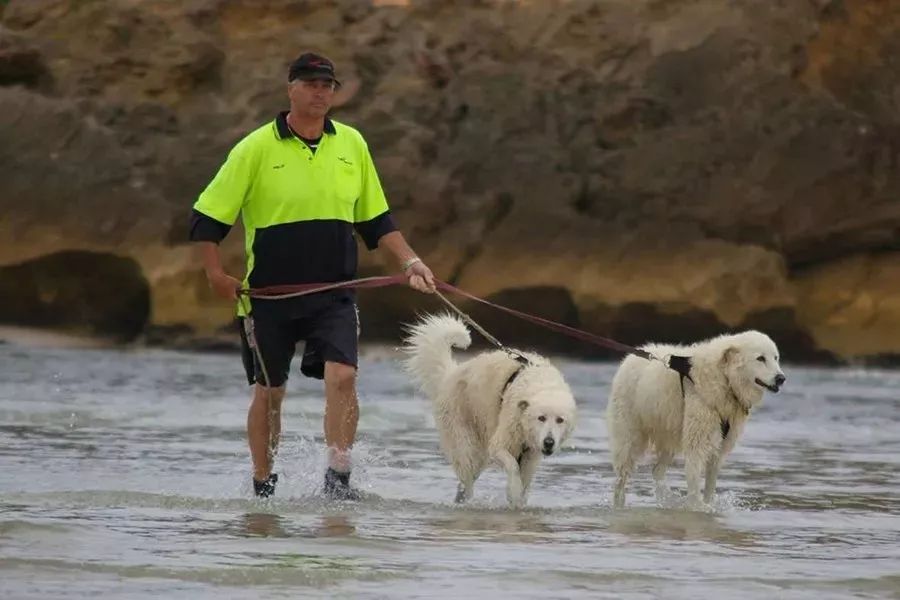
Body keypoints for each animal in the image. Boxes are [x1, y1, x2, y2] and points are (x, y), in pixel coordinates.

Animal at [402, 314, 576, 506]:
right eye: (541, 418)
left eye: (560, 420)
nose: (548, 442)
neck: (543, 385)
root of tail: (450, 375)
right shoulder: (503, 439)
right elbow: (512, 466)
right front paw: (513, 491)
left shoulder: (531, 454)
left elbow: (525, 481)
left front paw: (519, 501)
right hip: (464, 438)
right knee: (467, 474)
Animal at [604, 330, 788, 508]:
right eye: (760, 358)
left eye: (776, 358)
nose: (781, 378)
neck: (725, 380)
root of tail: (630, 357)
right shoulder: (698, 441)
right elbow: (694, 483)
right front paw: (698, 507)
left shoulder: (719, 447)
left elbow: (710, 486)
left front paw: (708, 506)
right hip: (629, 436)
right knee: (622, 478)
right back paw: (619, 504)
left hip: (671, 434)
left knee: (657, 471)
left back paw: (665, 498)